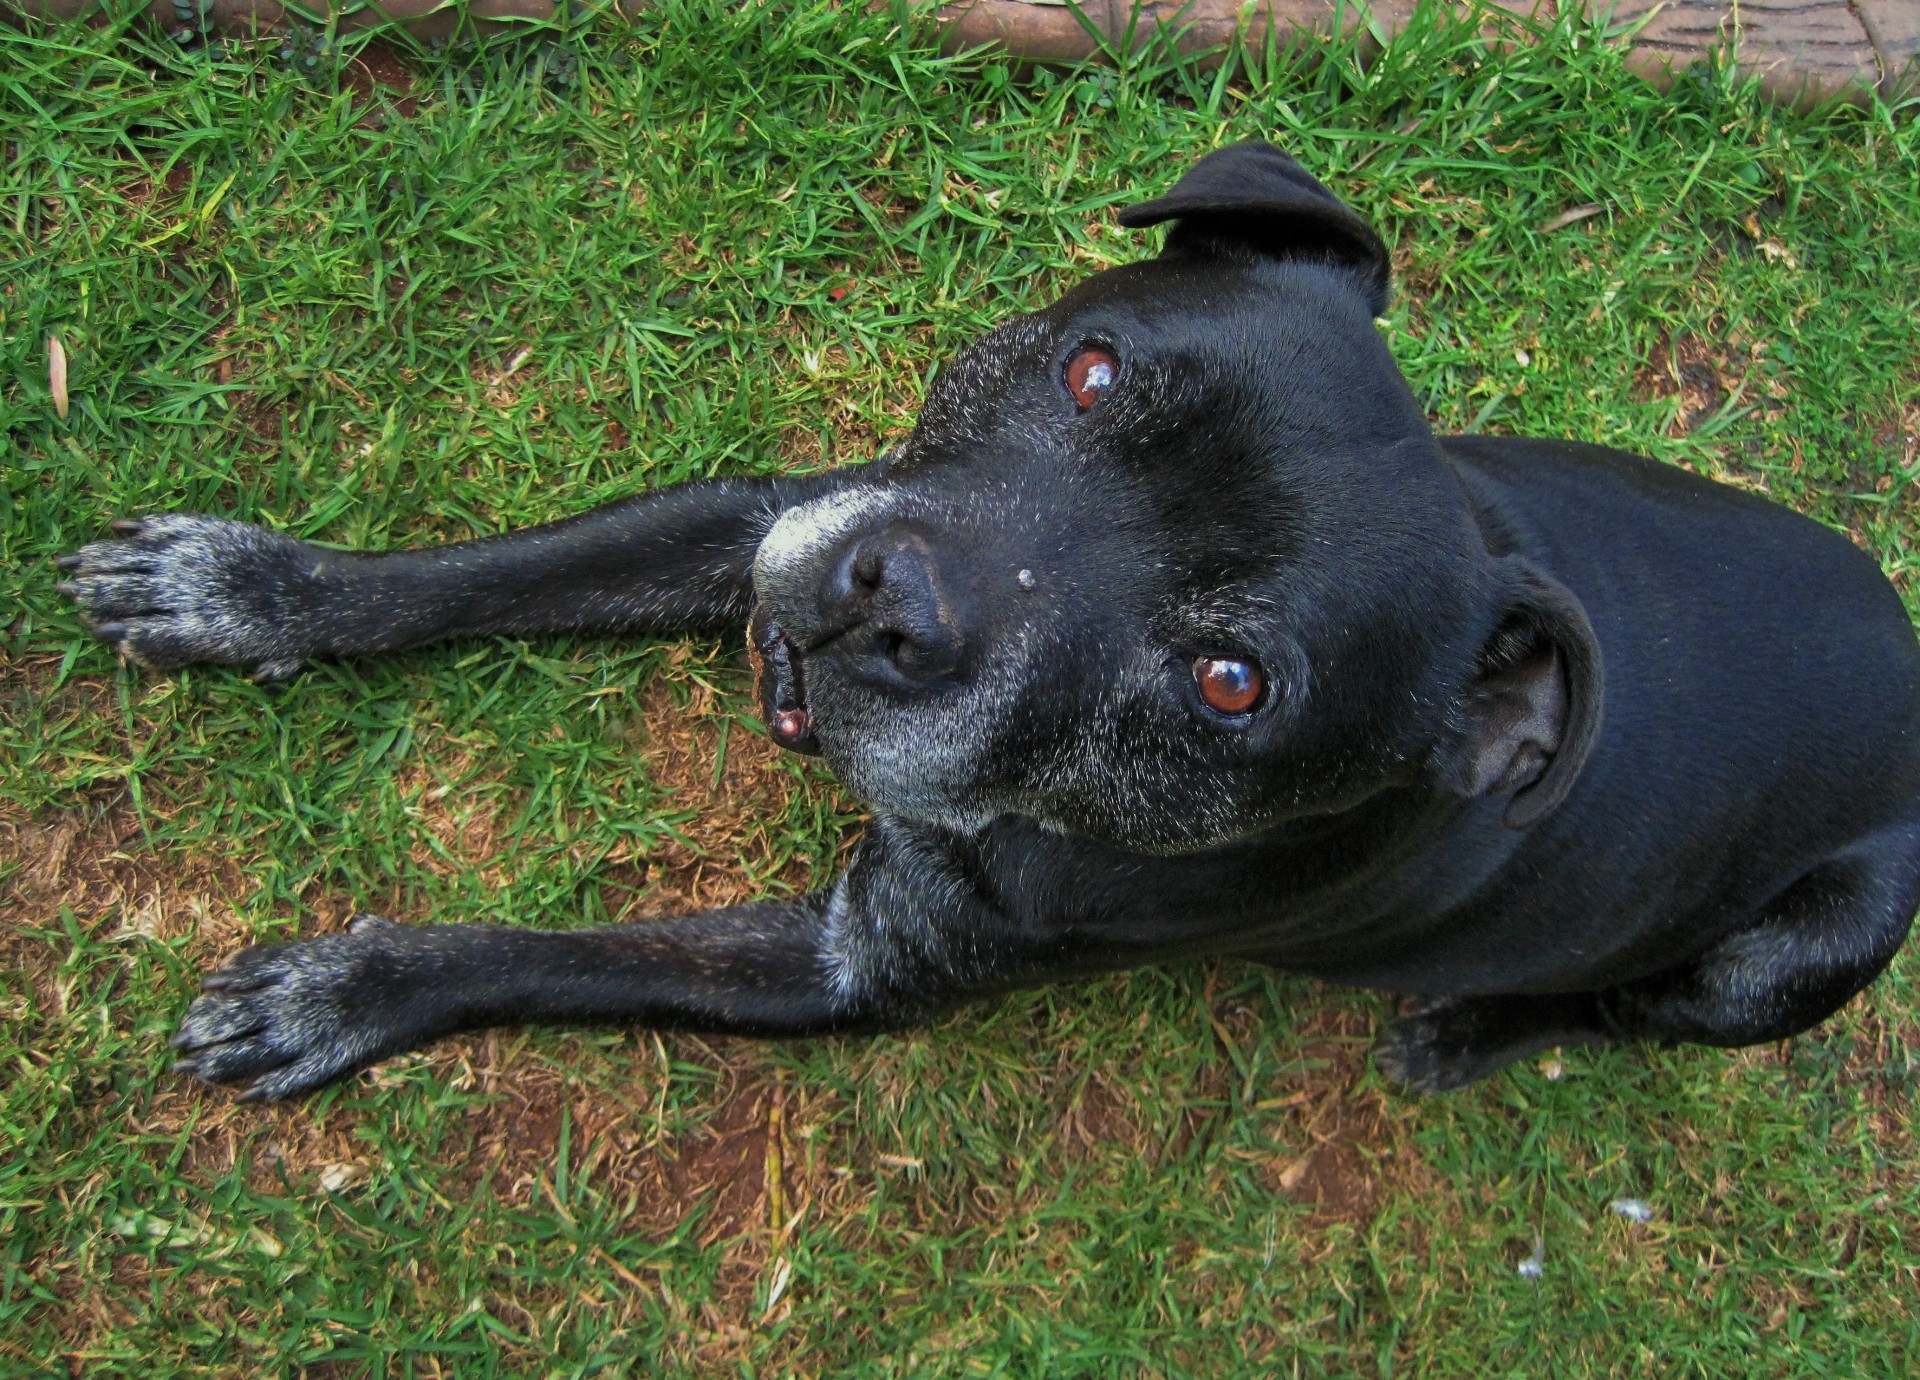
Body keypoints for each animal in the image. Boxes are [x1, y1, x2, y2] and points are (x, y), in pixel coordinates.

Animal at [60, 142, 1920, 1097]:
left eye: (1230, 682)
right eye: (1094, 372)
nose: (893, 609)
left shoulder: (849, 968)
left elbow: (555, 961)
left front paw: (340, 996)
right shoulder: (768, 515)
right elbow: (491, 573)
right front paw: (240, 588)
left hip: (1802, 951)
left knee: (1621, 1008)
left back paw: (1471, 1027)